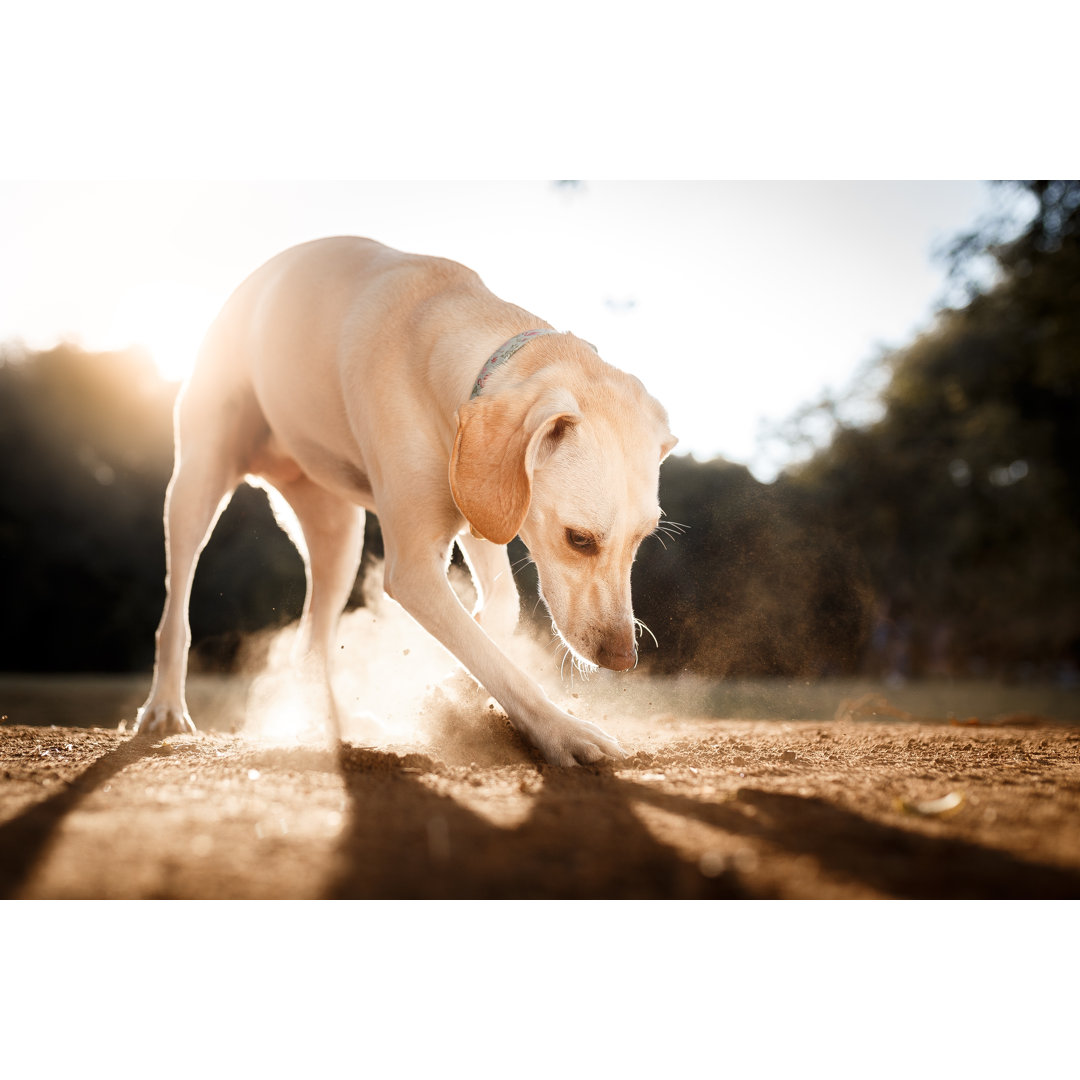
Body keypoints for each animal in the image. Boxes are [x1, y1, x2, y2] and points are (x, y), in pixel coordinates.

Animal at [135, 236, 673, 764]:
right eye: (578, 539)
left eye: (642, 539)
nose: (624, 659)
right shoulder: (413, 568)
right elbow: (491, 656)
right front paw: (562, 732)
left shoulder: (479, 509)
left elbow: (497, 615)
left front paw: (451, 690)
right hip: (196, 484)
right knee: (176, 611)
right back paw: (165, 708)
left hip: (339, 536)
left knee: (312, 640)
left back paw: (331, 725)